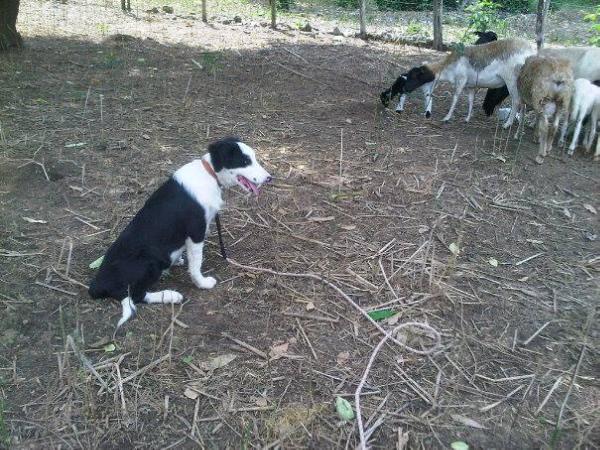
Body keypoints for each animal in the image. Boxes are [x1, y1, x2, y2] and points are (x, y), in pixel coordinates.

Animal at [87, 136, 272, 326]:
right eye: (245, 161)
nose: (269, 178)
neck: (209, 174)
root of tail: (97, 284)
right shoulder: (196, 232)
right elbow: (196, 264)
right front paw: (202, 283)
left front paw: (179, 260)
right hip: (149, 262)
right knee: (137, 296)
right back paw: (171, 296)